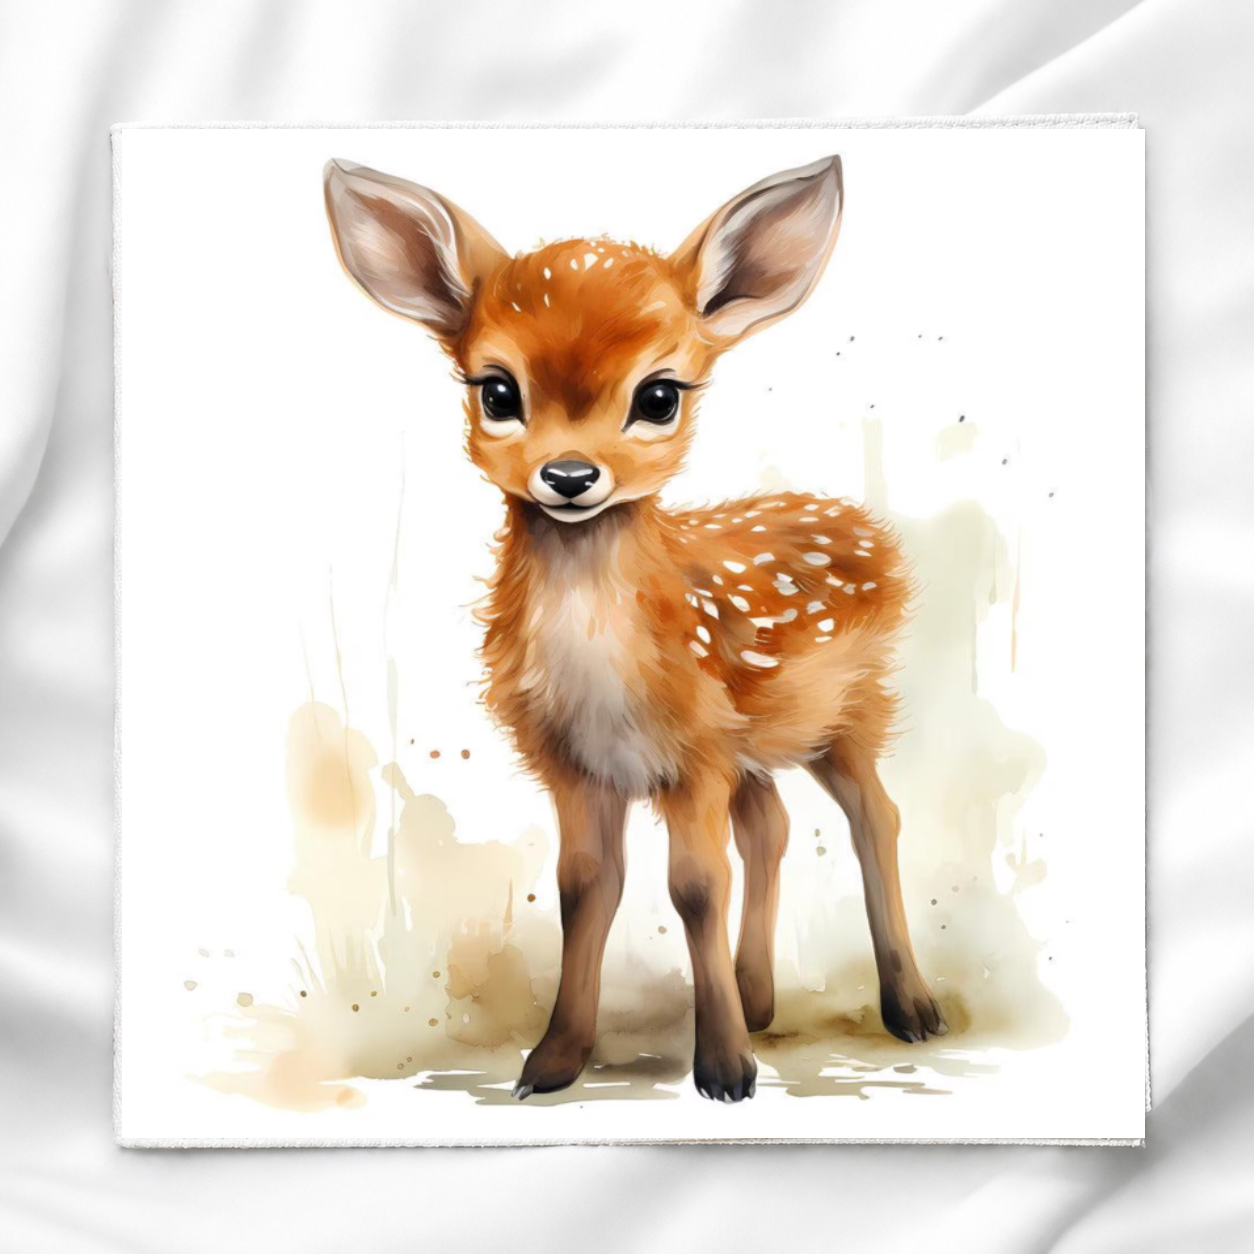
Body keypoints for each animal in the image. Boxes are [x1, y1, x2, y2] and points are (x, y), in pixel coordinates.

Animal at [323, 152, 946, 1104]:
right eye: (496, 390)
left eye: (658, 396)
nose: (570, 475)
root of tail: (866, 528)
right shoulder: (581, 766)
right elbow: (587, 886)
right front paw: (553, 1061)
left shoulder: (692, 754)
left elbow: (694, 886)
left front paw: (723, 1069)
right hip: (753, 744)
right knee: (770, 826)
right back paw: (759, 999)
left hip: (852, 708)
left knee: (875, 817)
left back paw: (910, 1007)